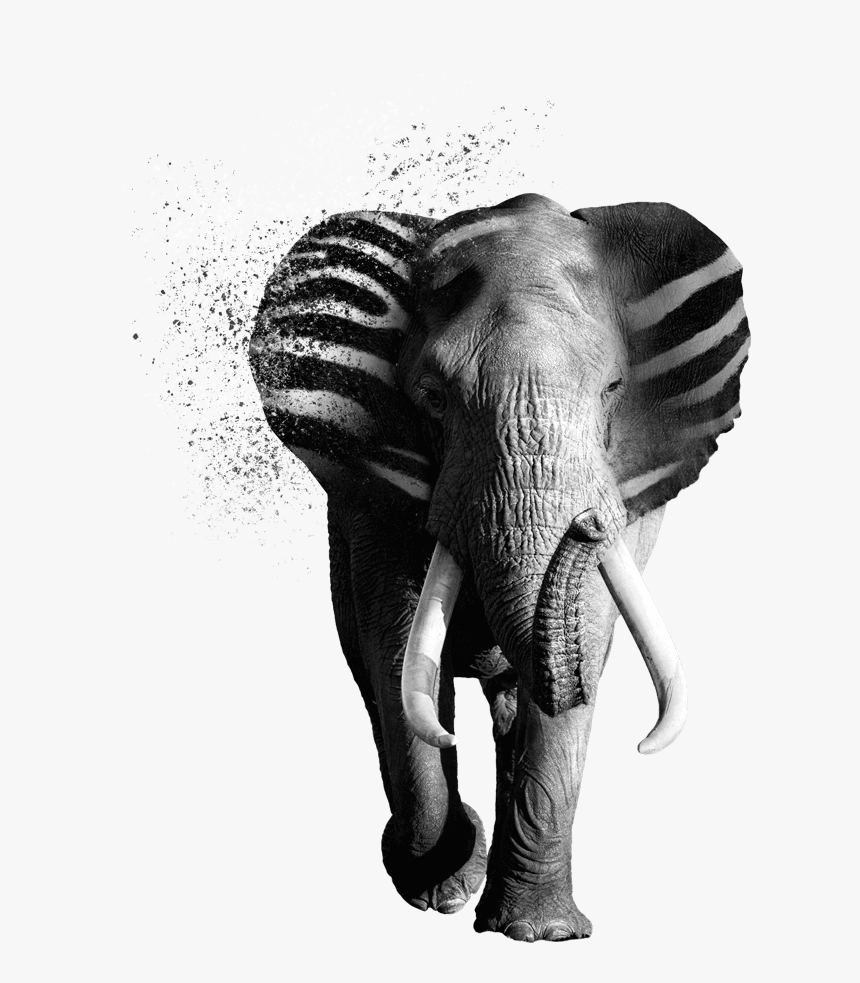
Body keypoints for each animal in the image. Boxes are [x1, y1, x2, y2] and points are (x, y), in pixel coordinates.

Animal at [248, 193, 749, 941]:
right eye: (431, 397)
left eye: (613, 388)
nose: (589, 524)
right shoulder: (374, 480)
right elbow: (395, 645)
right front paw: (443, 884)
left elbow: (586, 637)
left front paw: (543, 935)